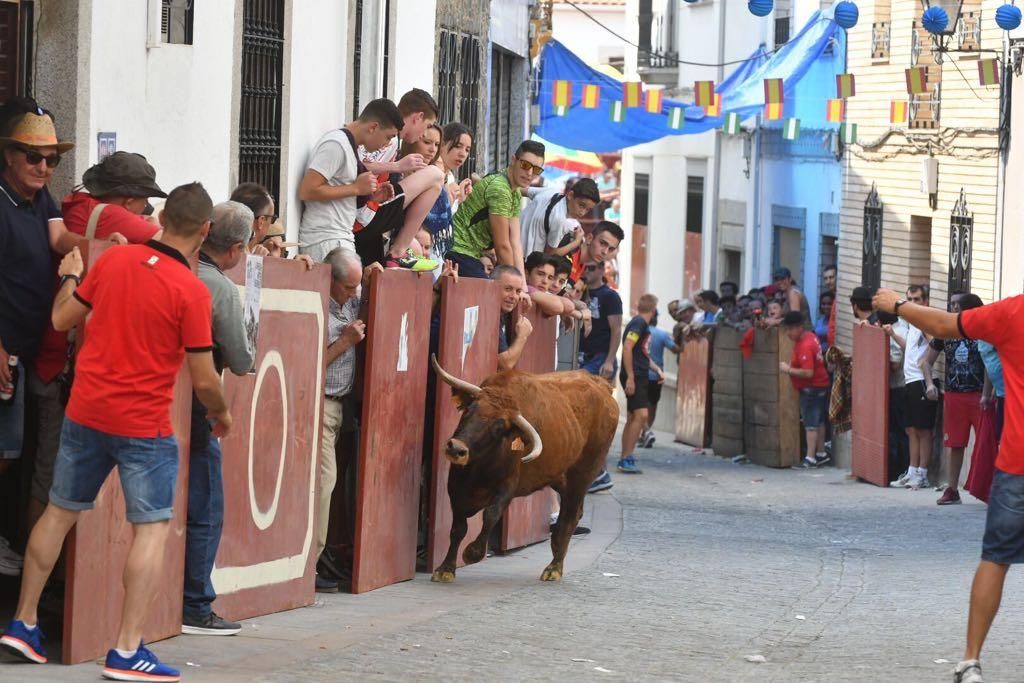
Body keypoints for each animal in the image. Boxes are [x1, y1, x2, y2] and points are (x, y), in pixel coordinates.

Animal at [430, 356, 614, 585]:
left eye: (499, 427)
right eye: (469, 410)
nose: (456, 448)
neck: (479, 468)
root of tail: (603, 386)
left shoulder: (507, 486)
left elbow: (491, 515)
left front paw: (472, 553)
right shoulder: (456, 485)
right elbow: (458, 528)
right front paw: (445, 569)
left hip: (582, 477)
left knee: (569, 518)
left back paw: (554, 568)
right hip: (561, 478)